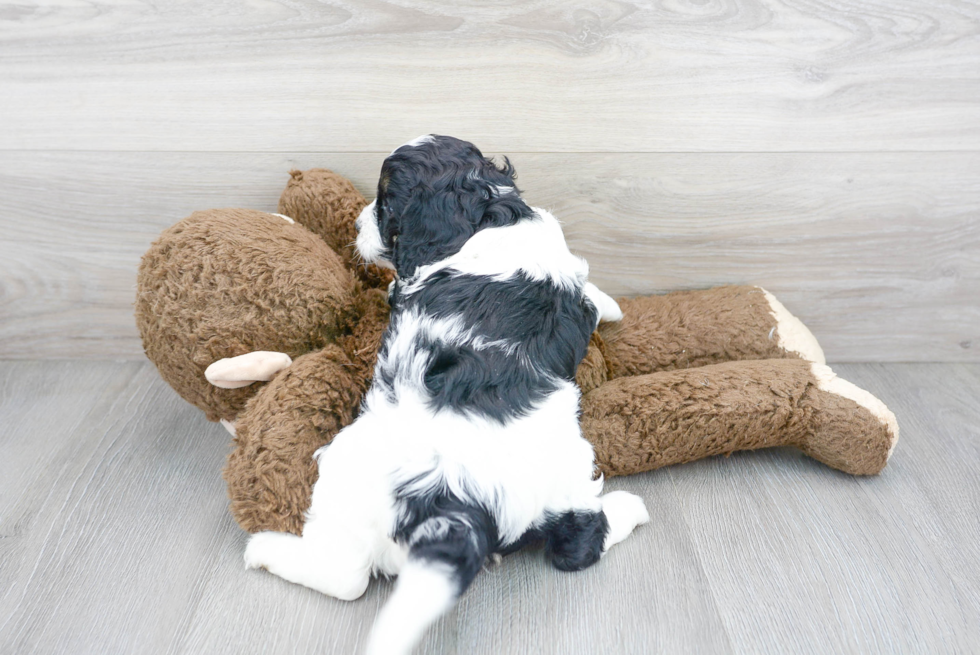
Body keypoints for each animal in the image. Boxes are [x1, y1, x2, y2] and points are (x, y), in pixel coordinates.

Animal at [242, 136, 648, 652]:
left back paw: (265, 549)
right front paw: (611, 306)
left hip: (345, 469)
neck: (488, 215)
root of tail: (454, 504)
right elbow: (590, 296)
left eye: (385, 204)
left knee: (346, 575)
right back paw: (627, 508)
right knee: (578, 539)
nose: (356, 222)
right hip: (568, 470)